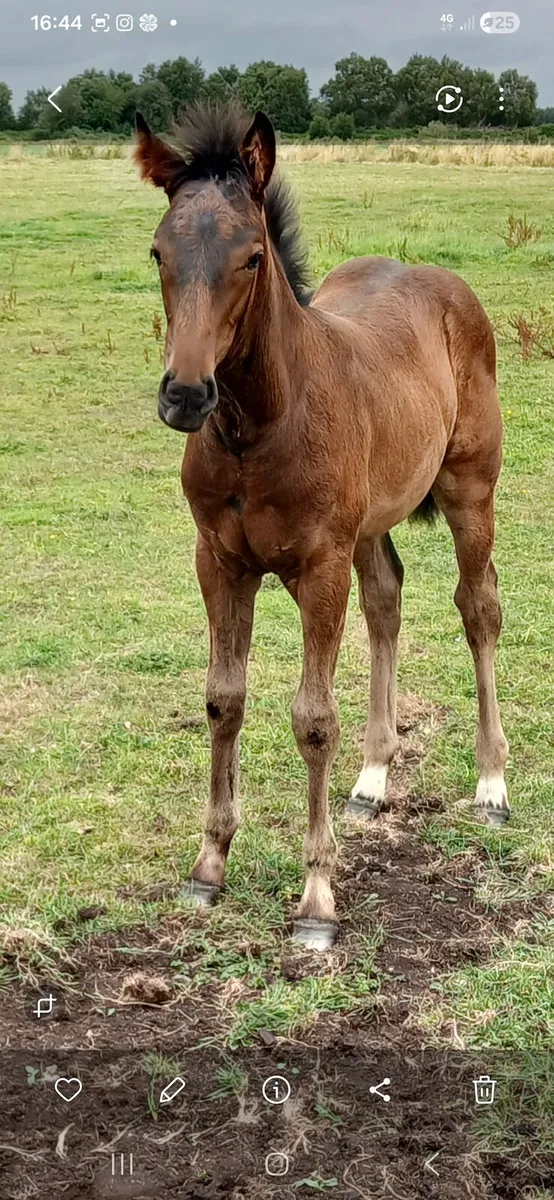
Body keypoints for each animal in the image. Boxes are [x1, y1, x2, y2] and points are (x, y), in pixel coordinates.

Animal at [136, 103, 509, 950]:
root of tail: (438, 278)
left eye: (250, 257)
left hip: (470, 493)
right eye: (159, 250)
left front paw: (316, 901)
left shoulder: (319, 567)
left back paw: (493, 783)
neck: (261, 427)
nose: (185, 396)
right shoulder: (220, 562)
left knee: (478, 610)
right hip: (370, 527)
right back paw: (371, 781)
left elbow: (311, 720)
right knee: (388, 600)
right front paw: (209, 866)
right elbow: (224, 698)